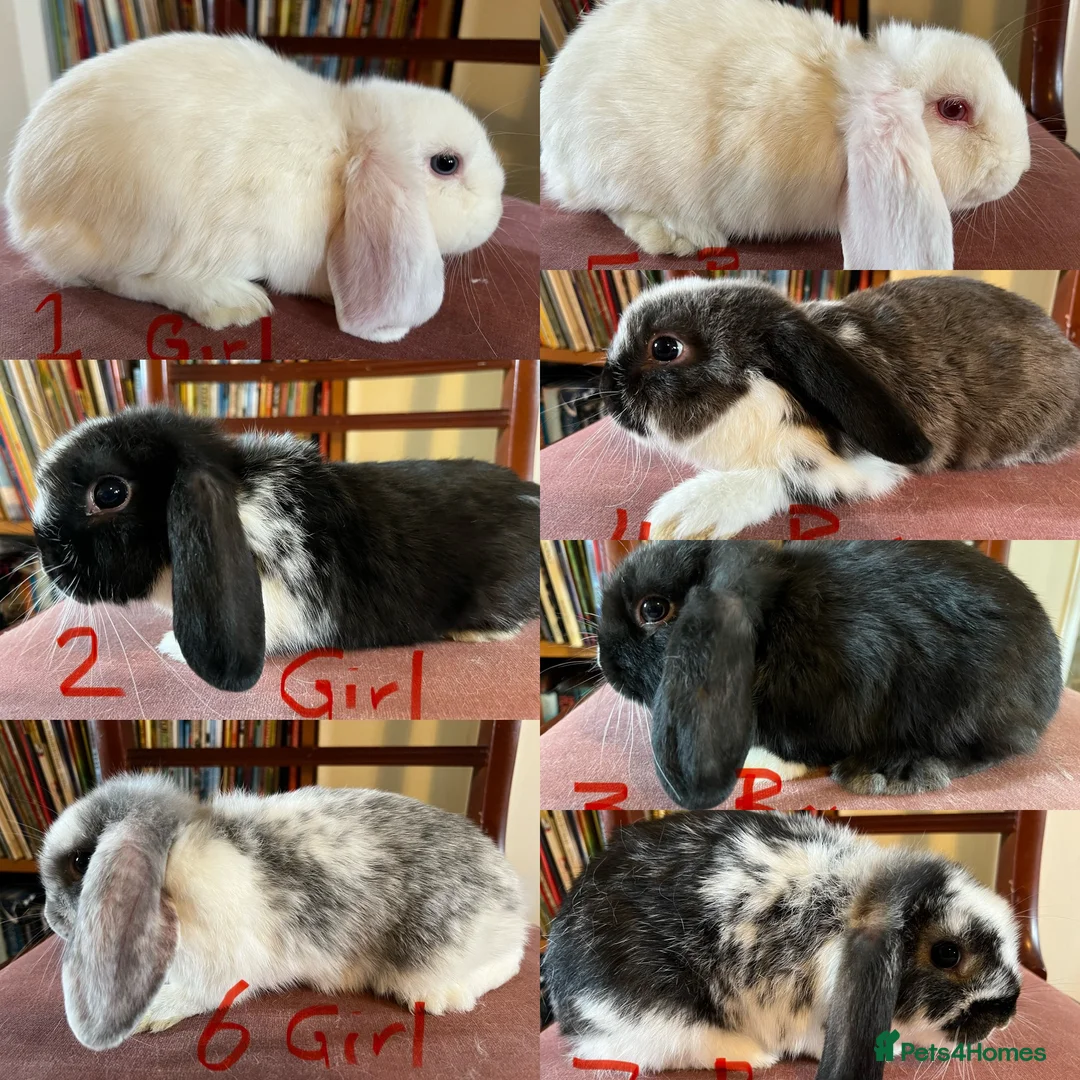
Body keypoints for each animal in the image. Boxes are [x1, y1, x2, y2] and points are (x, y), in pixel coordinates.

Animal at [6, 33, 505, 342]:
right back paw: (230, 302)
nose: (498, 210)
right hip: (146, 228)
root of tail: (24, 205)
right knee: (122, 280)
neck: (341, 158)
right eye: (446, 164)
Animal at [39, 773, 528, 1050]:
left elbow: (199, 996)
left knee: (502, 968)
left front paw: (154, 1012)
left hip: (431, 963)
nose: (49, 919)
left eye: (80, 862)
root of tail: (515, 900)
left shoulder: (219, 971)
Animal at [597, 540, 1061, 809]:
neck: (766, 630)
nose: (604, 661)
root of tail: (1052, 687)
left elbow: (802, 748)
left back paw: (893, 771)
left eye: (653, 609)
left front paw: (761, 764)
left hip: (970, 707)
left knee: (990, 749)